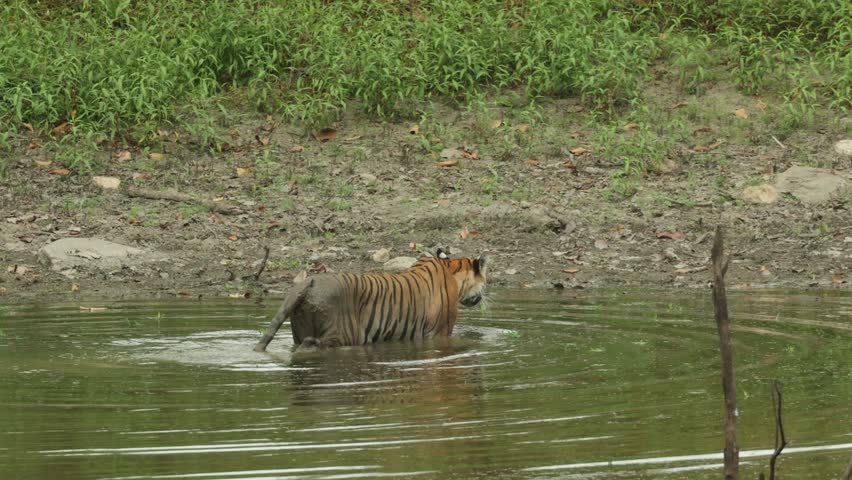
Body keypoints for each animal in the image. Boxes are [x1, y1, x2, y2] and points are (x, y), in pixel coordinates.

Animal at [253, 249, 488, 351]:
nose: (481, 297)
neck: (450, 268)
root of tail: (309, 281)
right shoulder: (441, 332)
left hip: (298, 331)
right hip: (342, 335)